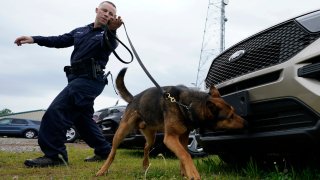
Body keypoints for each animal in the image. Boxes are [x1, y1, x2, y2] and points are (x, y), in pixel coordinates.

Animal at [96, 68, 246, 179]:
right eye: (231, 116)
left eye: (234, 112)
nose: (246, 122)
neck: (186, 105)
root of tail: (133, 98)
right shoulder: (170, 138)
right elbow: (185, 155)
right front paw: (193, 173)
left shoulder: (183, 138)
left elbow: (183, 154)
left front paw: (184, 173)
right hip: (121, 132)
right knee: (112, 152)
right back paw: (103, 170)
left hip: (151, 137)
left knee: (145, 148)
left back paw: (145, 165)